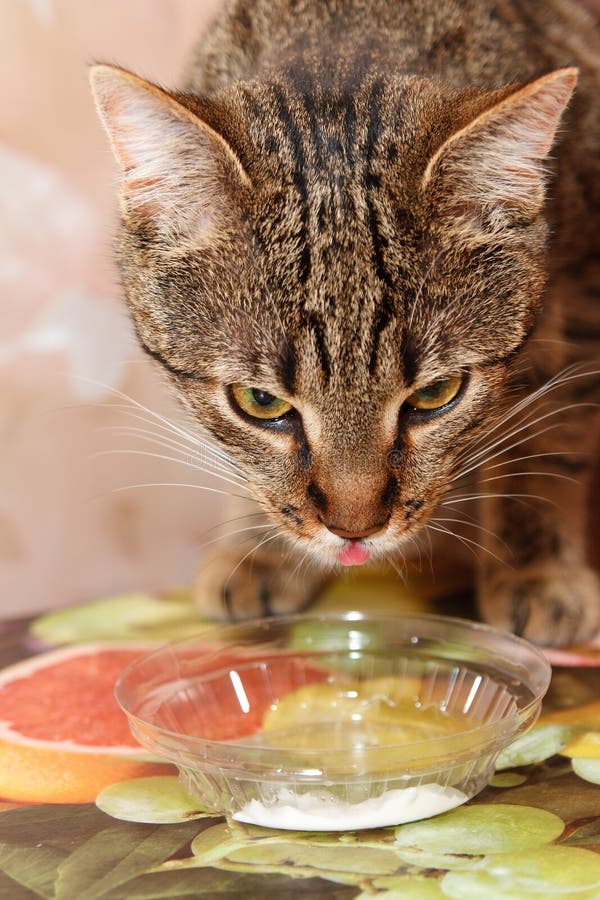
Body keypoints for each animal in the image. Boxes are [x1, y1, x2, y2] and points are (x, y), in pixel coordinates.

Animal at [89, 0, 600, 648]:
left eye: (437, 394)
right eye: (259, 401)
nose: (354, 530)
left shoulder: (582, 294)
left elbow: (549, 434)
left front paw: (536, 569)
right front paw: (260, 547)